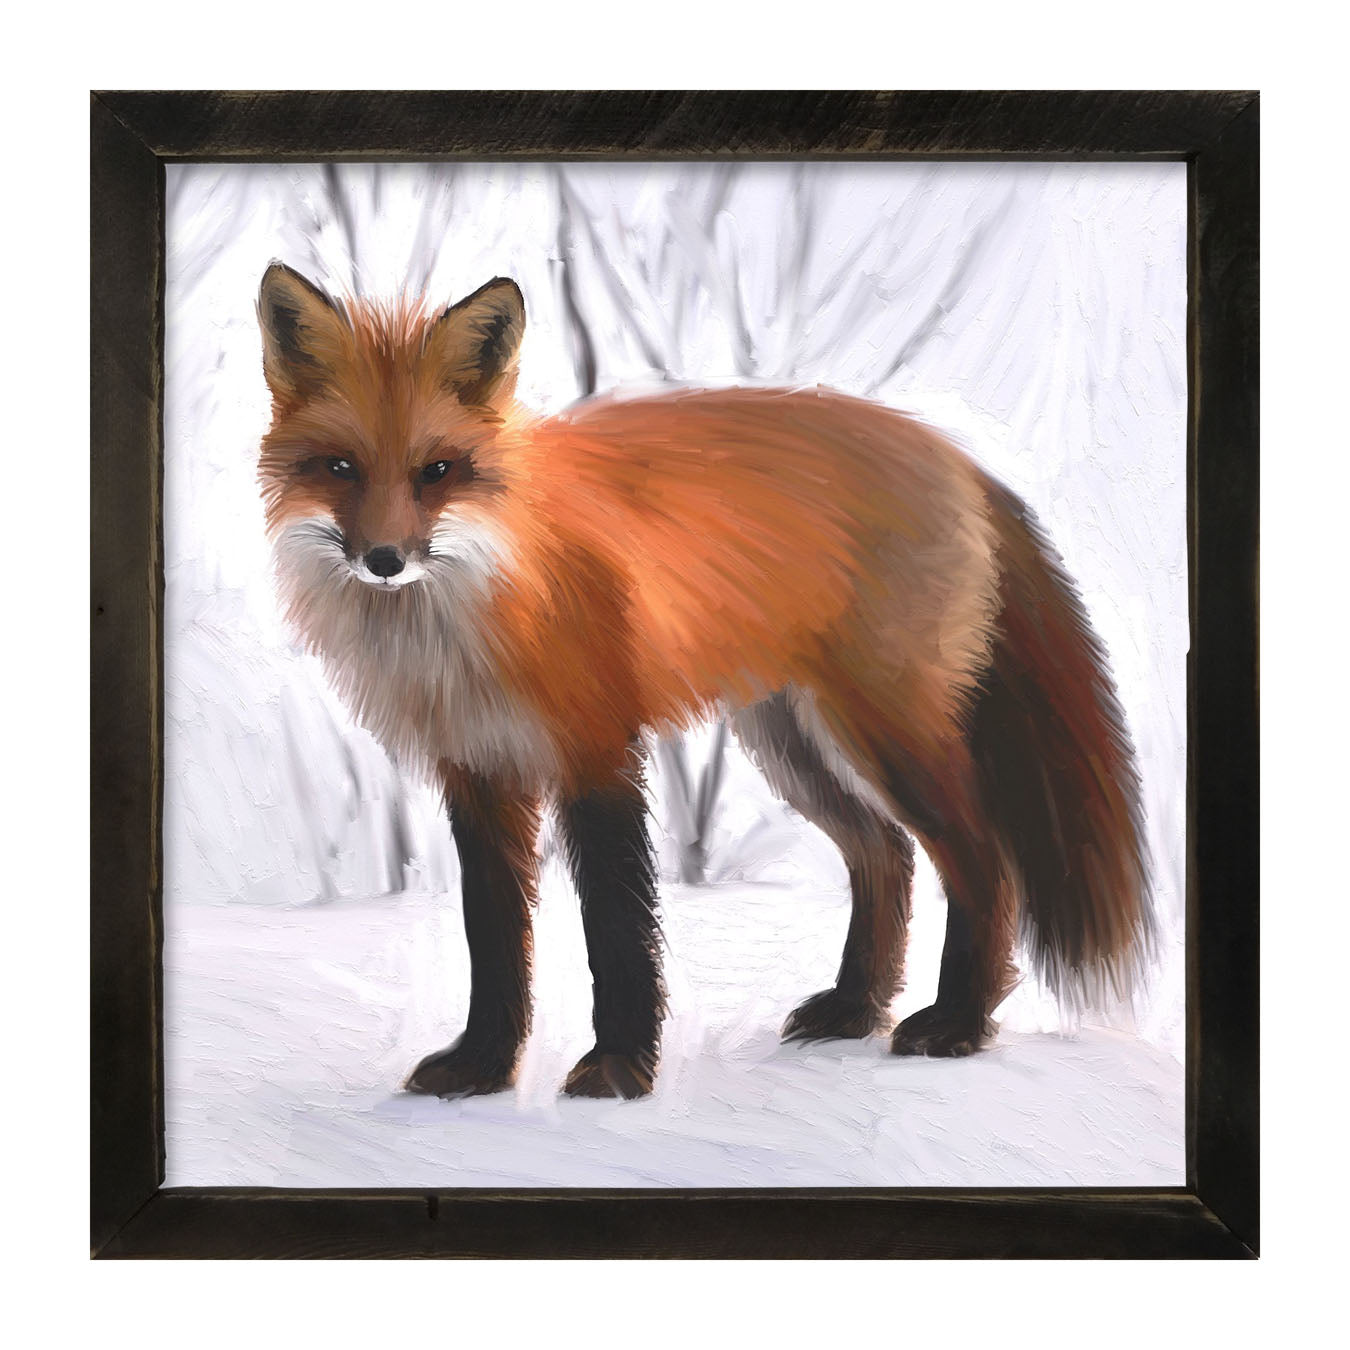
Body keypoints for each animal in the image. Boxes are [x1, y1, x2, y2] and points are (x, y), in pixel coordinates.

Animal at [256, 262, 1152, 1101]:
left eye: (438, 470)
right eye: (340, 467)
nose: (384, 560)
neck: (477, 610)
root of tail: (954, 454)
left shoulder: (597, 751)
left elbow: (617, 926)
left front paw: (619, 1070)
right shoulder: (478, 772)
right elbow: (496, 936)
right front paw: (482, 1066)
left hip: (889, 735)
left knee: (982, 862)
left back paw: (958, 1024)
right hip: (791, 744)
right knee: (884, 854)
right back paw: (856, 1009)